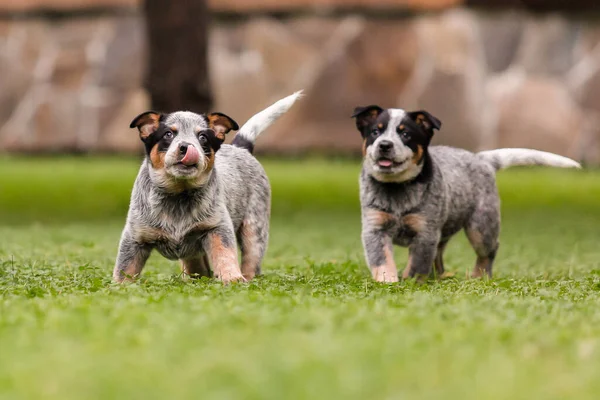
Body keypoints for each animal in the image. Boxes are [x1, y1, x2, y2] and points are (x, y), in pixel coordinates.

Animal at [113, 92, 302, 282]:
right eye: (168, 134)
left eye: (202, 137)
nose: (186, 147)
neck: (178, 195)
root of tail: (240, 148)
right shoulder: (134, 237)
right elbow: (124, 269)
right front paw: (119, 285)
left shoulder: (217, 227)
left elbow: (224, 254)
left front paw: (232, 278)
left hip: (255, 230)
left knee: (250, 262)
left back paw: (246, 278)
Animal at [352, 104, 580, 282]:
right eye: (375, 132)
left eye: (405, 134)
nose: (384, 145)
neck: (396, 189)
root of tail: (481, 159)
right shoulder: (375, 228)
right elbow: (382, 260)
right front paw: (387, 282)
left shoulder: (425, 232)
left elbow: (416, 264)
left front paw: (409, 282)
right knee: (439, 255)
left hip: (482, 226)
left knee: (489, 251)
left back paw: (480, 277)